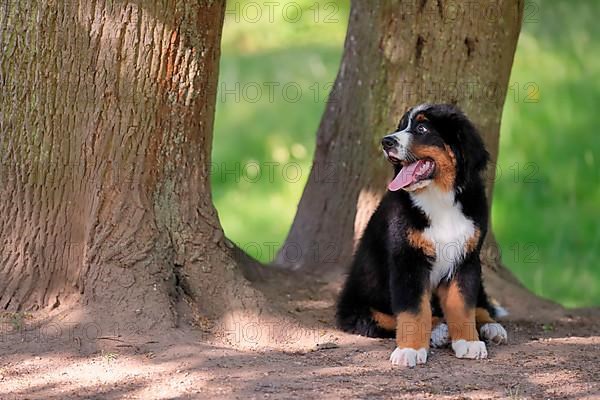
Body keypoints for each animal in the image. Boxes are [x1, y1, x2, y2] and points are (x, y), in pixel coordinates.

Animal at [338, 102, 506, 366]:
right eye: (400, 126)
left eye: (421, 128)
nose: (386, 141)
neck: (439, 199)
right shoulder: (408, 259)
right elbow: (414, 310)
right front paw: (410, 350)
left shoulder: (465, 259)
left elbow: (463, 305)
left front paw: (468, 342)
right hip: (361, 305)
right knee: (388, 318)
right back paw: (438, 331)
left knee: (479, 302)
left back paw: (491, 326)